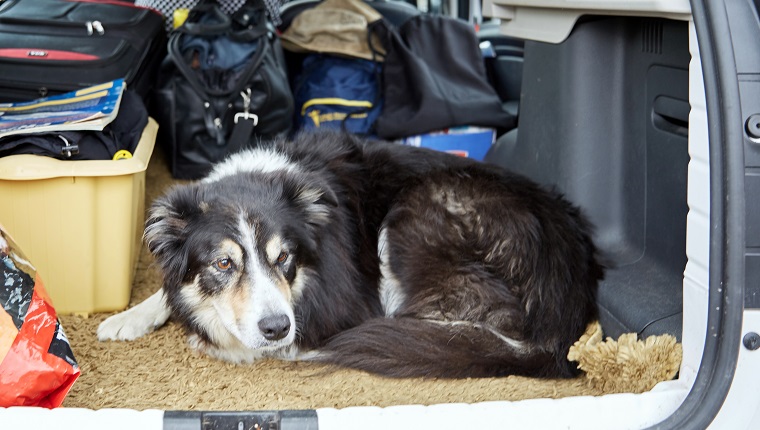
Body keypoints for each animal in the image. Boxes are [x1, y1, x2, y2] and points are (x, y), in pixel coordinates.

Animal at [98, 129, 604, 378]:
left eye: (285, 257)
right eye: (224, 263)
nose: (277, 328)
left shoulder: (345, 301)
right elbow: (169, 291)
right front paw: (130, 316)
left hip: (416, 213)